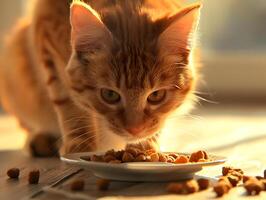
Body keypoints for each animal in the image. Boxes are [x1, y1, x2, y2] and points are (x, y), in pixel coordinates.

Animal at [0, 0, 200, 156]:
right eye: (110, 95)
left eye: (156, 96)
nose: (134, 130)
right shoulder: (48, 41)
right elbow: (70, 104)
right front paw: (81, 146)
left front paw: (145, 148)